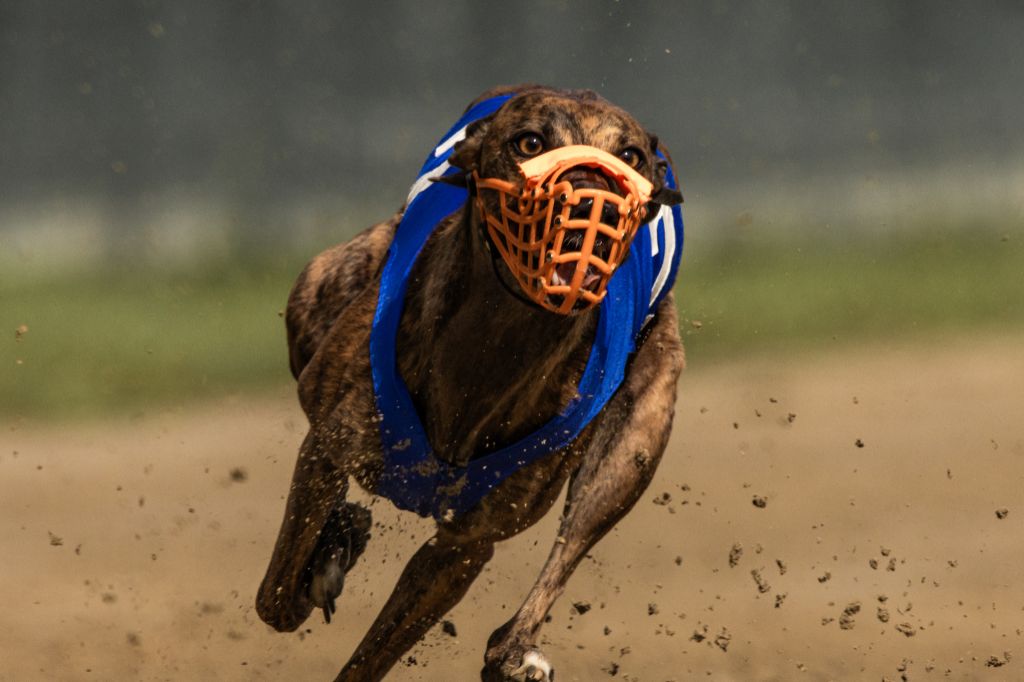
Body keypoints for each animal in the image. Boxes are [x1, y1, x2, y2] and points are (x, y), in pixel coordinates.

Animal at [256, 82, 688, 675]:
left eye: (631, 156)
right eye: (529, 142)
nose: (589, 198)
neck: (496, 346)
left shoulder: (464, 545)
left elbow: (369, 655)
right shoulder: (328, 447)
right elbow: (276, 598)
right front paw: (325, 555)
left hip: (634, 443)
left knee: (569, 543)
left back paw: (514, 652)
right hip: (319, 289)